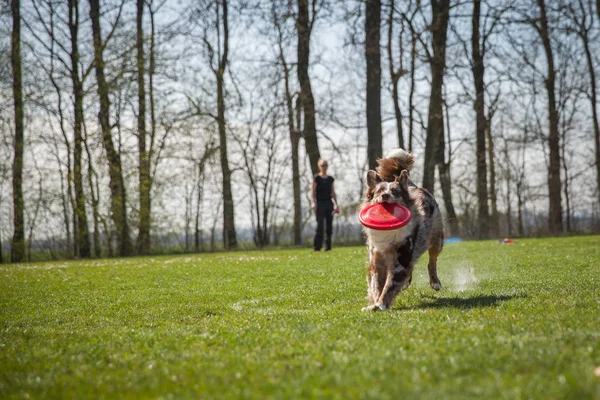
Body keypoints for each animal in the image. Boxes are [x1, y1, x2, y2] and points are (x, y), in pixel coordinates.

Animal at [358, 148, 442, 310]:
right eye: (379, 191)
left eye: (395, 192)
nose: (385, 195)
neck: (388, 231)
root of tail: (413, 185)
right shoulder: (377, 258)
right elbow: (376, 284)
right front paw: (374, 303)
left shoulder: (401, 259)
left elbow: (389, 285)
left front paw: (381, 304)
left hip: (437, 240)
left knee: (432, 261)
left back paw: (435, 282)